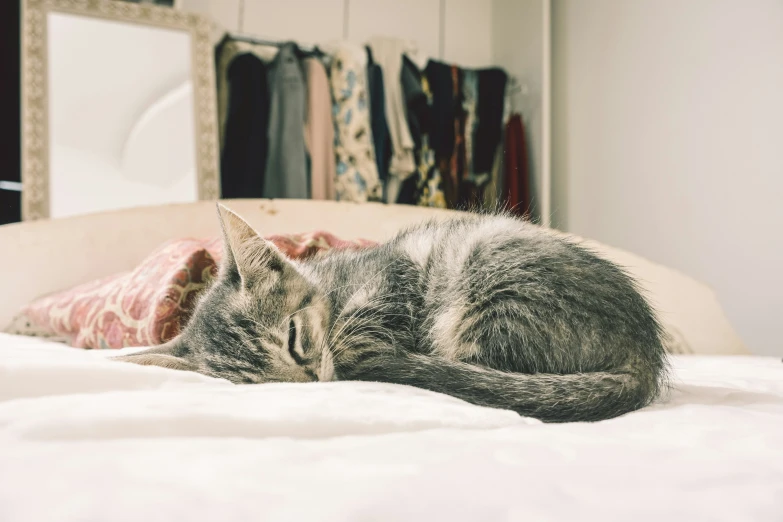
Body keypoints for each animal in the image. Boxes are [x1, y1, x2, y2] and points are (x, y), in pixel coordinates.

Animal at [116, 201, 668, 420]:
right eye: (260, 386)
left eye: (293, 337)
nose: (310, 383)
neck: (334, 284)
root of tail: (643, 350)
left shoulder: (395, 271)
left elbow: (357, 335)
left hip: (491, 279)